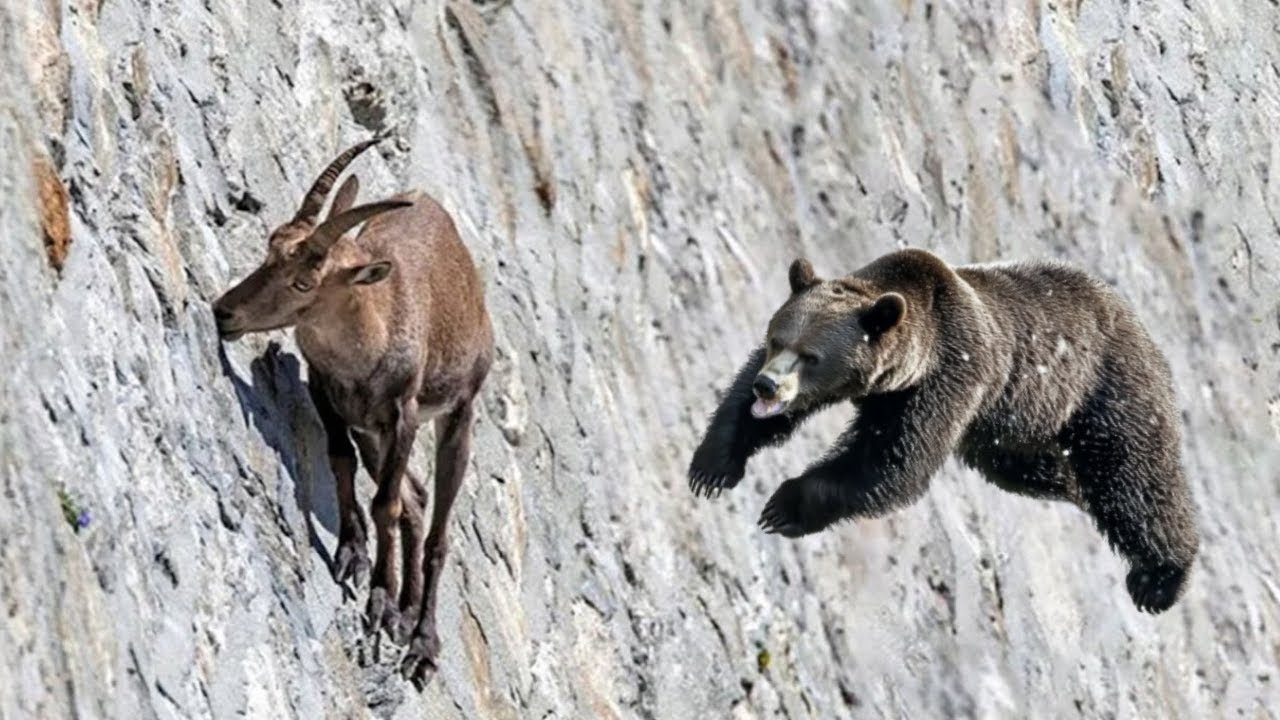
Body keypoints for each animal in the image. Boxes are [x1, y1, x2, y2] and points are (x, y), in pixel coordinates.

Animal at [212, 138, 494, 686]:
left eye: (305, 283)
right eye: (271, 246)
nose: (224, 312)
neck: (368, 338)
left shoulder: (402, 414)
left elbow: (385, 504)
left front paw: (381, 600)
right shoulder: (330, 393)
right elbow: (342, 462)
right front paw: (353, 554)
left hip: (457, 415)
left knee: (436, 530)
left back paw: (420, 640)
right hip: (373, 432)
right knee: (416, 497)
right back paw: (407, 612)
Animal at [687, 248, 1199, 614]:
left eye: (811, 356)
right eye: (777, 338)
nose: (769, 384)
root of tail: (1136, 320)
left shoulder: (947, 382)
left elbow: (891, 463)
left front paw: (783, 506)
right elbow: (743, 409)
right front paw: (713, 467)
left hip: (1108, 394)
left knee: (1135, 481)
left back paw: (1160, 578)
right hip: (1013, 430)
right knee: (1043, 473)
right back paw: (1073, 489)